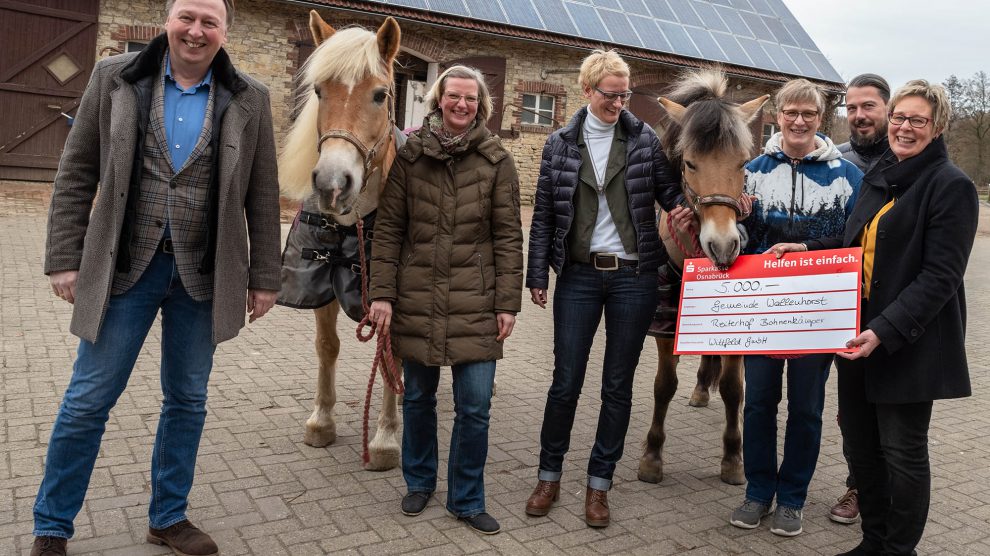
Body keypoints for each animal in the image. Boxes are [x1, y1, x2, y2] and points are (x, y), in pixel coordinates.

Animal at [280, 11, 404, 470]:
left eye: (380, 95)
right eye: (319, 90)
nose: (333, 183)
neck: (356, 225)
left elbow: (391, 358)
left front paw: (386, 438)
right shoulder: (321, 283)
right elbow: (327, 347)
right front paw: (322, 420)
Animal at [640, 69, 772, 484]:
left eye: (743, 162)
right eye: (690, 163)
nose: (724, 245)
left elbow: (733, 389)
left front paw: (733, 458)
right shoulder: (666, 321)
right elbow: (663, 386)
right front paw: (652, 456)